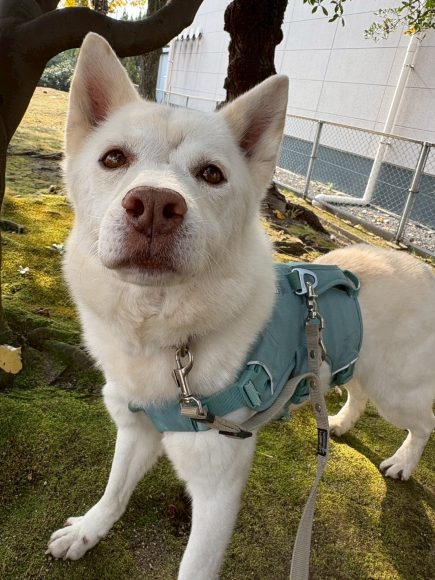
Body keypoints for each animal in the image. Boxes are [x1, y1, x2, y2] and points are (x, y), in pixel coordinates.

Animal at [47, 33, 435, 578]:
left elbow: (194, 566)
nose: (154, 207)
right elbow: (114, 491)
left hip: (396, 390)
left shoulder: (217, 487)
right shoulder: (136, 426)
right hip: (354, 365)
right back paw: (338, 424)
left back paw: (403, 462)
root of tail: (420, 268)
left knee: (423, 423)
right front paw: (88, 530)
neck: (164, 334)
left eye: (212, 174)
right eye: (113, 158)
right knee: (355, 391)